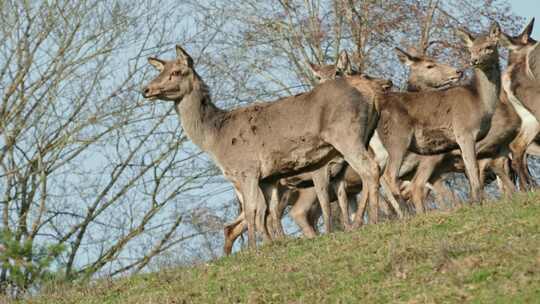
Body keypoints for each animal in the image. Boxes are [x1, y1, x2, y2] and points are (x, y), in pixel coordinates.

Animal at [141, 45, 382, 249]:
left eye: (176, 72)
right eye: (161, 71)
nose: (146, 89)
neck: (215, 139)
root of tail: (371, 93)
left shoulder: (246, 169)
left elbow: (252, 212)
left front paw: (252, 250)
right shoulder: (268, 177)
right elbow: (269, 212)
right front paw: (275, 244)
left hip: (346, 135)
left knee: (370, 169)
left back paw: (370, 221)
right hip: (361, 137)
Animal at [378, 23, 504, 209]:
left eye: (488, 47)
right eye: (471, 49)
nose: (474, 61)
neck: (480, 102)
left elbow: (469, 170)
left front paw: (474, 200)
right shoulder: (464, 132)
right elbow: (473, 168)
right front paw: (478, 202)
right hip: (397, 139)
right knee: (390, 176)